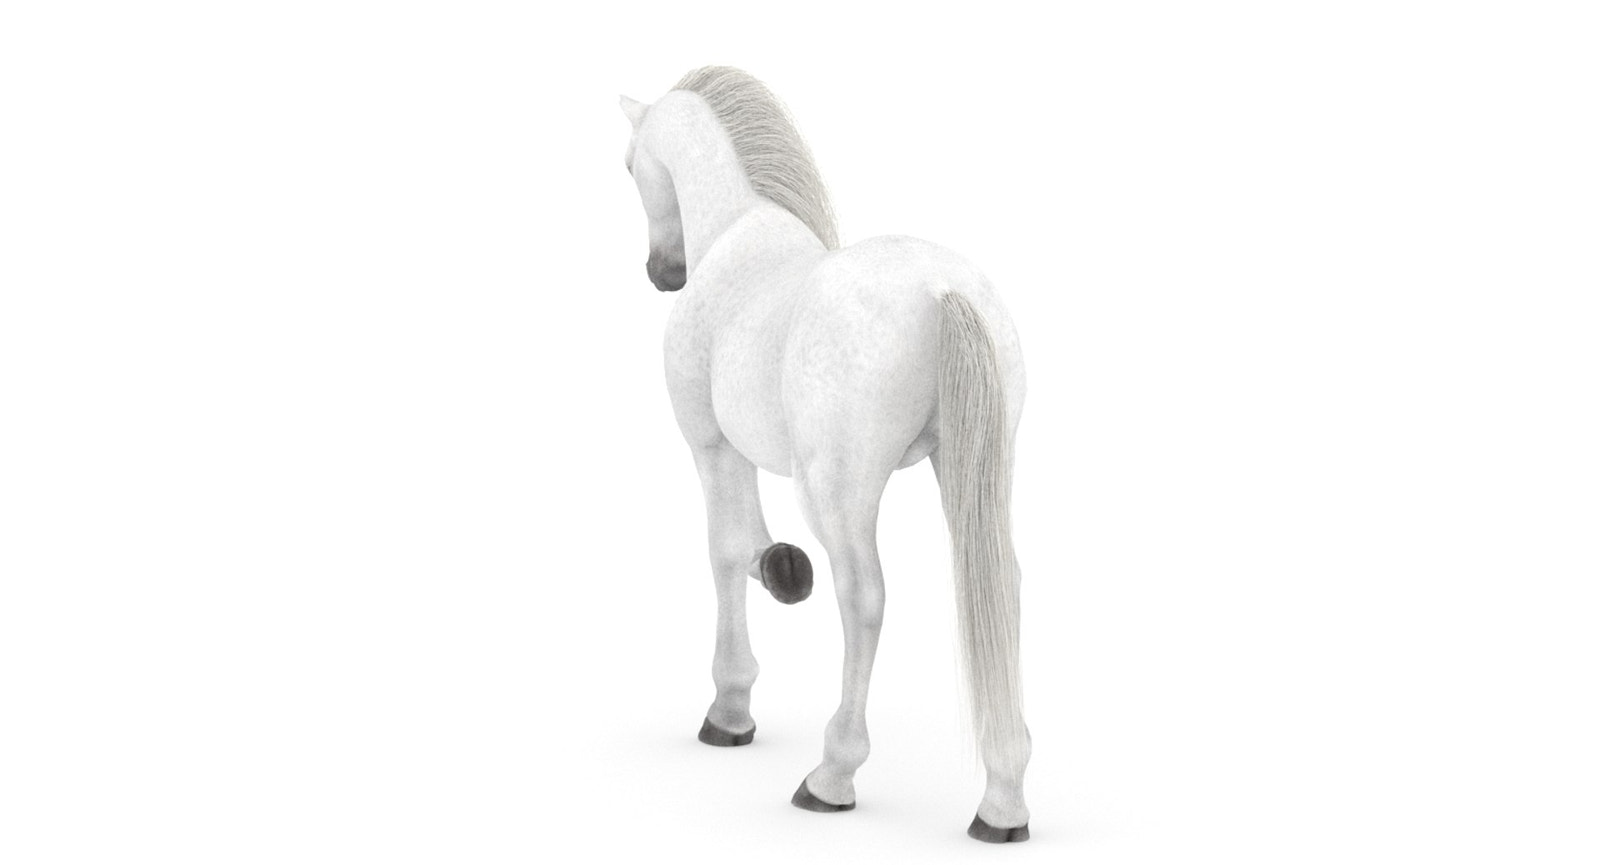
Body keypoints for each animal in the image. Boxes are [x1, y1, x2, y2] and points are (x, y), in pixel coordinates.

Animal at [618, 66, 1031, 843]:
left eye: (630, 168)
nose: (664, 273)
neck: (737, 231)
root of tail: (941, 291)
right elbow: (748, 544)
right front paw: (783, 569)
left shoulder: (712, 444)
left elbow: (726, 549)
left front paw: (731, 709)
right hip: (974, 476)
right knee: (1005, 585)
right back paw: (1003, 801)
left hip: (837, 490)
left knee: (862, 596)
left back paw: (832, 775)